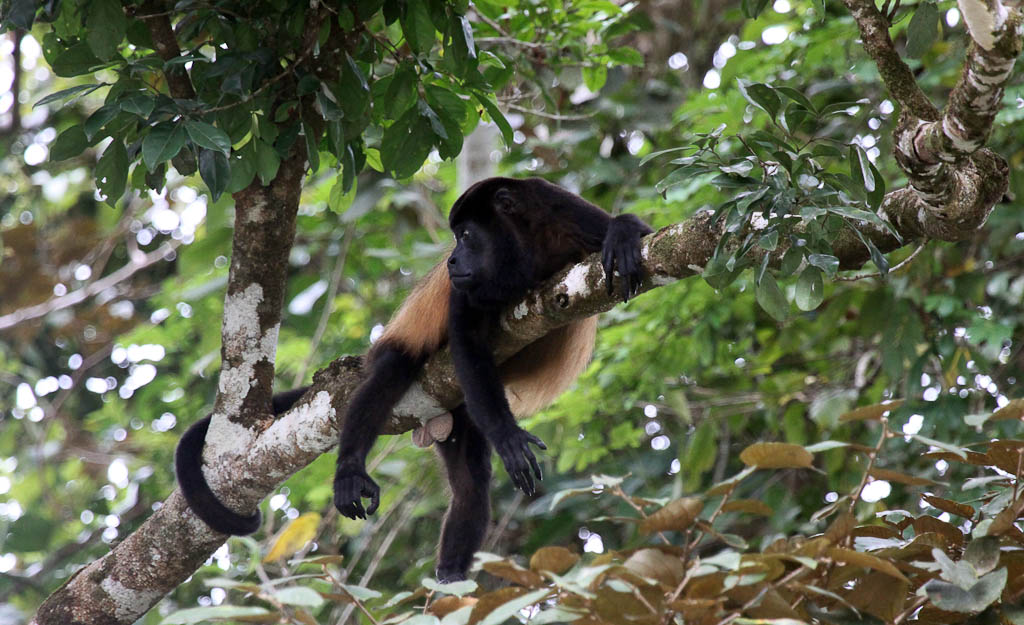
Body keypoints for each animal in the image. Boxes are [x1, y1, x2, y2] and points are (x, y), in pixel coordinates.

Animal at [175, 177, 652, 582]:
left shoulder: (558, 206)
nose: (452, 260)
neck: (524, 248)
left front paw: (624, 234)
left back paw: (452, 579)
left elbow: (631, 233)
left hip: (461, 413)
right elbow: (467, 346)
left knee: (470, 486)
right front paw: (509, 436)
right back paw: (351, 470)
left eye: (466, 236)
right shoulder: (466, 290)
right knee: (390, 374)